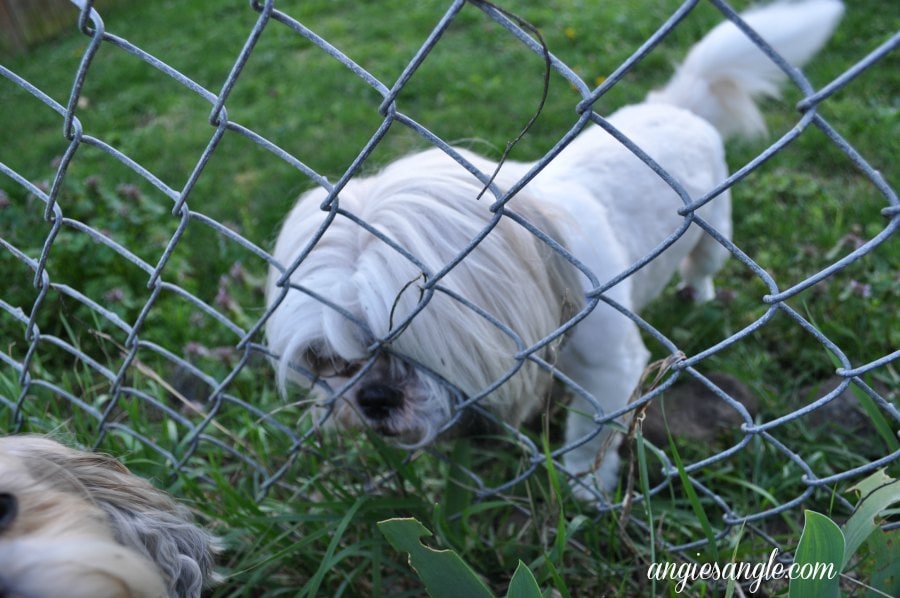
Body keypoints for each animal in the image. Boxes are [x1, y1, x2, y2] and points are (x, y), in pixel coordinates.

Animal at [266, 2, 844, 502]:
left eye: (426, 349)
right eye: (327, 360)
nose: (372, 399)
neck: (547, 258)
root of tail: (676, 105)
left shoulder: (610, 370)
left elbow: (588, 435)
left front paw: (585, 488)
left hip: (711, 233)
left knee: (700, 267)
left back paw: (698, 299)